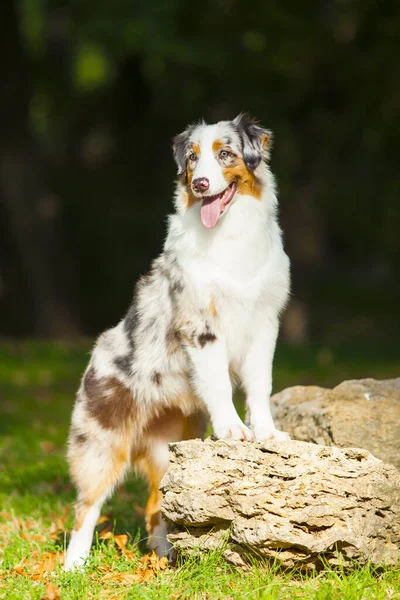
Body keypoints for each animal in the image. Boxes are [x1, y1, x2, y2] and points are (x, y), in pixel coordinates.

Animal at [65, 115, 290, 568]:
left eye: (226, 154)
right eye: (192, 159)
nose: (201, 184)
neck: (230, 235)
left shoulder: (264, 322)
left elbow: (260, 385)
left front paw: (266, 431)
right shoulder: (201, 325)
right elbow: (219, 384)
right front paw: (233, 429)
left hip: (170, 450)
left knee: (157, 505)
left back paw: (165, 556)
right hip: (101, 440)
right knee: (87, 506)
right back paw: (72, 567)